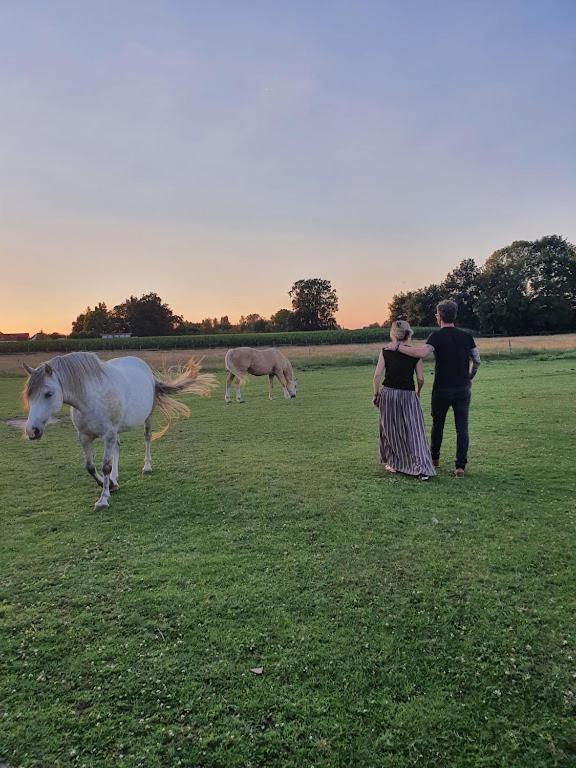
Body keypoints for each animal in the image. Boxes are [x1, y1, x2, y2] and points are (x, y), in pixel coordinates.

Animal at [22, 352, 216, 510]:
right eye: (29, 395)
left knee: (147, 438)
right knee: (117, 448)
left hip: (147, 418)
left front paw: (103, 499)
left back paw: (146, 466)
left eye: (48, 394)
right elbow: (90, 467)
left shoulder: (108, 435)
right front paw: (109, 484)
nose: (32, 431)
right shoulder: (85, 437)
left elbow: (105, 466)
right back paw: (115, 477)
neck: (90, 398)